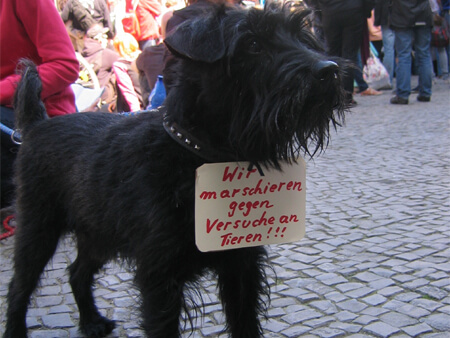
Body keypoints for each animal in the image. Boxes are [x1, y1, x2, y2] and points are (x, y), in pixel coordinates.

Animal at [4, 3, 348, 338]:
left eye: (302, 37)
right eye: (252, 44)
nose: (329, 70)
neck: (200, 155)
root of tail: (35, 125)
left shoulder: (242, 266)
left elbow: (245, 324)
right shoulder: (160, 280)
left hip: (97, 233)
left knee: (77, 272)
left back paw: (91, 322)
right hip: (38, 230)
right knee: (19, 286)